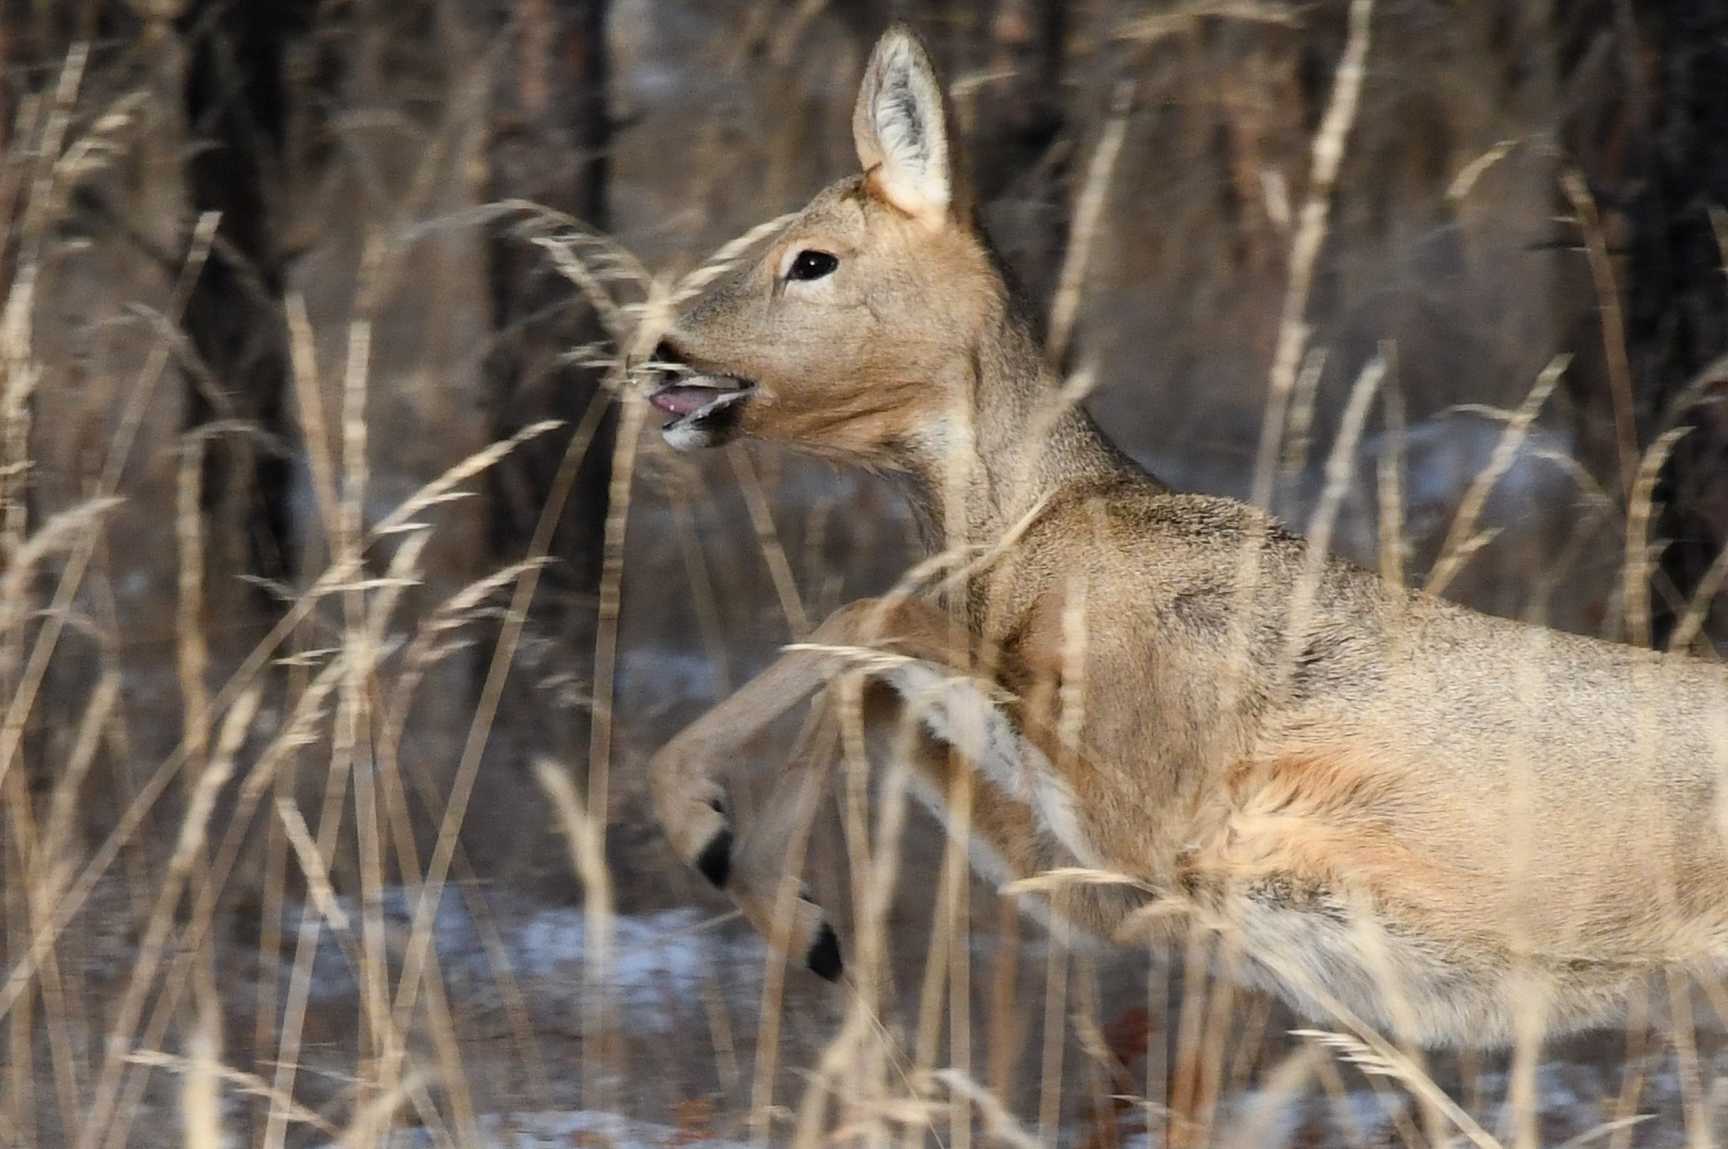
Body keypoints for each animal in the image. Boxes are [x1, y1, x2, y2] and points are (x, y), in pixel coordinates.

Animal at [642, 24, 1728, 1050]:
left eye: (811, 259)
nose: (661, 352)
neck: (1039, 537)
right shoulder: (1112, 887)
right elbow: (868, 668)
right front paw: (795, 911)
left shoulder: (1151, 809)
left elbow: (869, 613)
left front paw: (724, 841)